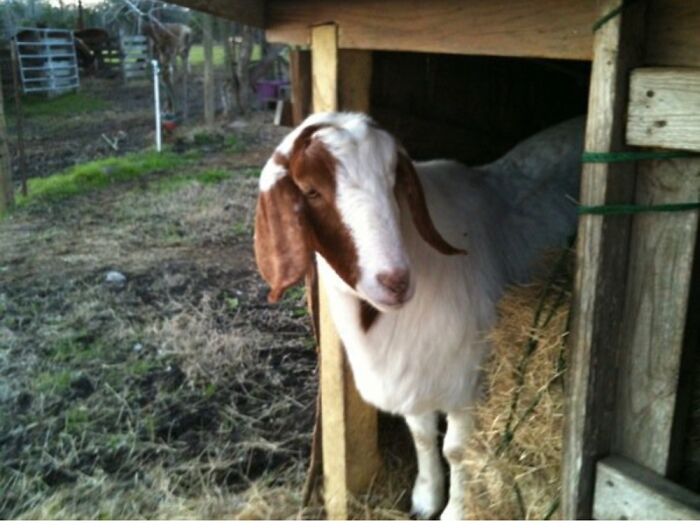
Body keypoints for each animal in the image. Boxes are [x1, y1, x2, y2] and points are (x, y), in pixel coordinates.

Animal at [254, 112, 583, 520]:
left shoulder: (468, 378)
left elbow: (455, 449)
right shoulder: (412, 371)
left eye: (393, 182)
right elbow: (423, 437)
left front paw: (455, 511)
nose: (395, 281)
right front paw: (425, 499)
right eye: (311, 191)